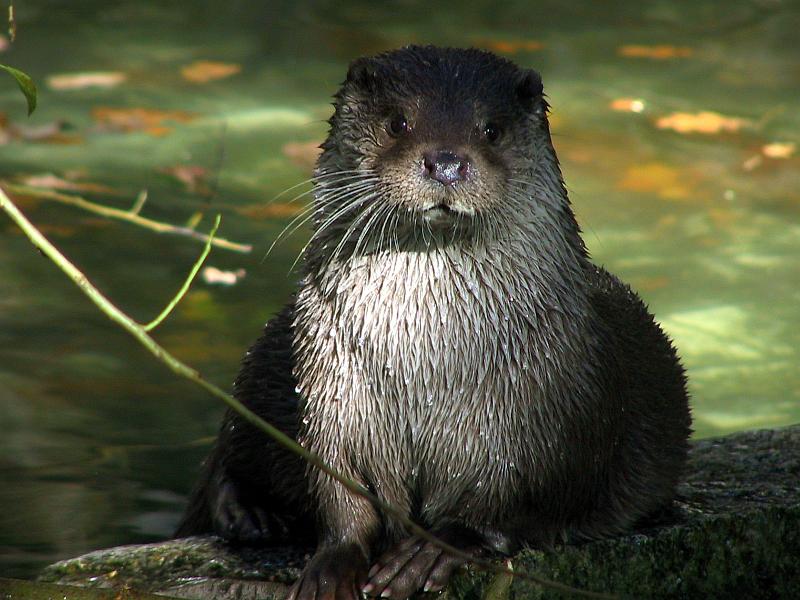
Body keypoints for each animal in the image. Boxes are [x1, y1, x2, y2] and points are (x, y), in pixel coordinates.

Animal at [175, 45, 688, 600]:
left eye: (491, 129)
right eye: (398, 122)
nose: (446, 162)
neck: (429, 359)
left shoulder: (548, 419)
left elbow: (509, 500)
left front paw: (433, 551)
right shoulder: (332, 390)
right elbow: (338, 490)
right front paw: (332, 564)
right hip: (270, 351)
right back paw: (248, 512)